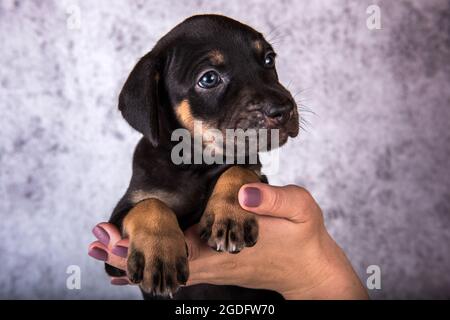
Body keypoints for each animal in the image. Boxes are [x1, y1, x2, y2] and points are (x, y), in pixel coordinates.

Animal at [106, 14, 298, 300]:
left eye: (268, 60)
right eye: (209, 79)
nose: (284, 109)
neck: (193, 163)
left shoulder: (257, 174)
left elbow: (239, 170)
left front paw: (229, 215)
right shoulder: (115, 238)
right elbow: (149, 204)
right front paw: (160, 254)